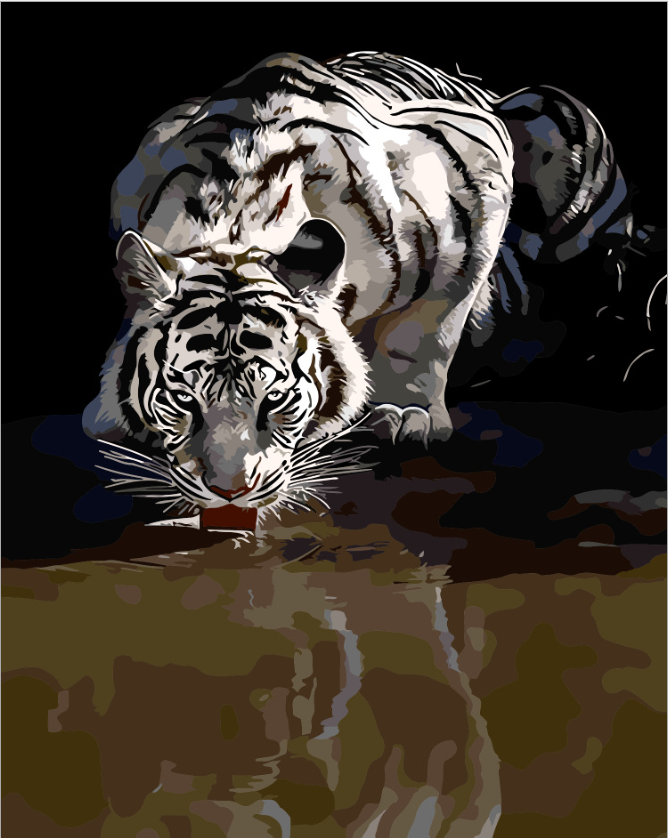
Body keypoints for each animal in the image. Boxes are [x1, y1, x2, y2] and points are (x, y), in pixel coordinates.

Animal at [84, 51, 634, 523]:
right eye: (182, 400)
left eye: (275, 400)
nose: (229, 492)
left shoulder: (478, 175)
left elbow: (426, 331)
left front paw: (407, 415)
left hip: (552, 121)